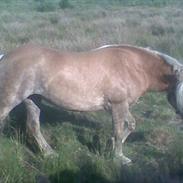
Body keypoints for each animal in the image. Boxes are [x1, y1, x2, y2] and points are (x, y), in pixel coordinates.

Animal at [0, 43, 183, 164]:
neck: (133, 66)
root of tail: (5, 57)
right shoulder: (117, 105)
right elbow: (119, 131)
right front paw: (119, 157)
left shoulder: (123, 106)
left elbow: (130, 125)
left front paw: (110, 146)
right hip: (10, 99)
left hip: (33, 100)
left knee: (33, 126)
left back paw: (49, 153)